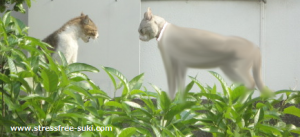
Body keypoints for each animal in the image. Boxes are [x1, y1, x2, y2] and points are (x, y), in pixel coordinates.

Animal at [138, 7, 268, 98]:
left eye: (140, 30)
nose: (139, 37)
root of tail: (256, 47)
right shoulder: (180, 65)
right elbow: (181, 86)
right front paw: (180, 103)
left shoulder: (170, 62)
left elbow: (172, 86)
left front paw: (170, 103)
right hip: (228, 69)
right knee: (247, 84)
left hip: (238, 67)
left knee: (251, 83)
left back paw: (237, 105)